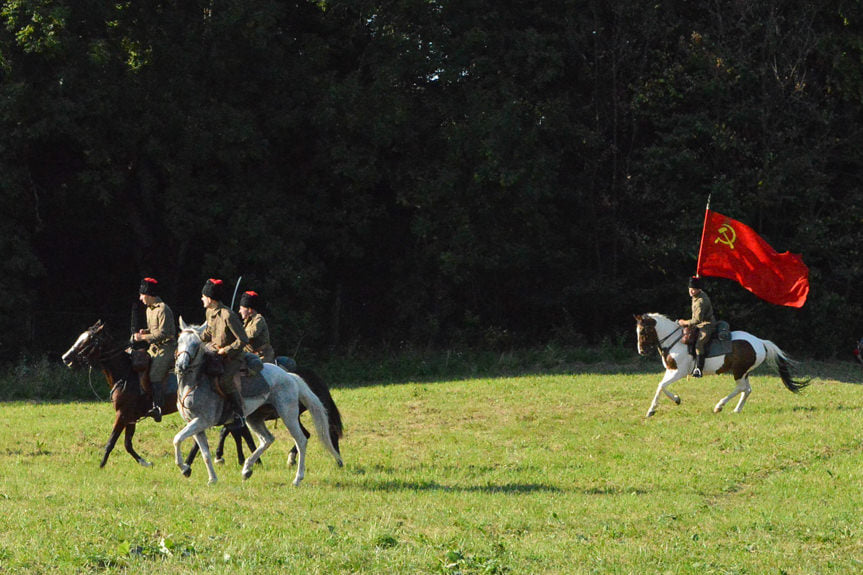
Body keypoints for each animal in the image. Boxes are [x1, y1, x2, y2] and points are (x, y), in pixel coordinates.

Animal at [62, 320, 182, 468]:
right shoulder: (131, 417)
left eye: (89, 340)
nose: (65, 358)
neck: (126, 373)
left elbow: (111, 441)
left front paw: (101, 465)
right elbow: (127, 444)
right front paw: (145, 462)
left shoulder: (122, 414)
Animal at [174, 320, 342, 486]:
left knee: (301, 439)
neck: (195, 383)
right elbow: (204, 453)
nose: (181, 366)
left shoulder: (202, 421)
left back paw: (297, 478)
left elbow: (177, 439)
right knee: (267, 439)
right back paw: (247, 469)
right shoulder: (196, 424)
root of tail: (289, 376)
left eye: (196, 344)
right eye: (179, 341)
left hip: (288, 415)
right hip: (253, 418)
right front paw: (210, 478)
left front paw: (185, 468)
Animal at [636, 312, 808, 416]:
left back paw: (719, 406)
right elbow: (662, 386)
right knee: (747, 390)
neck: (676, 341)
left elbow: (661, 386)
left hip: (739, 371)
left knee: (741, 388)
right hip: (744, 372)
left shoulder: (679, 372)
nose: (641, 351)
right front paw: (676, 399)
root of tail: (760, 342)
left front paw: (651, 410)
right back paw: (736, 409)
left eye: (643, 331)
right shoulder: (671, 371)